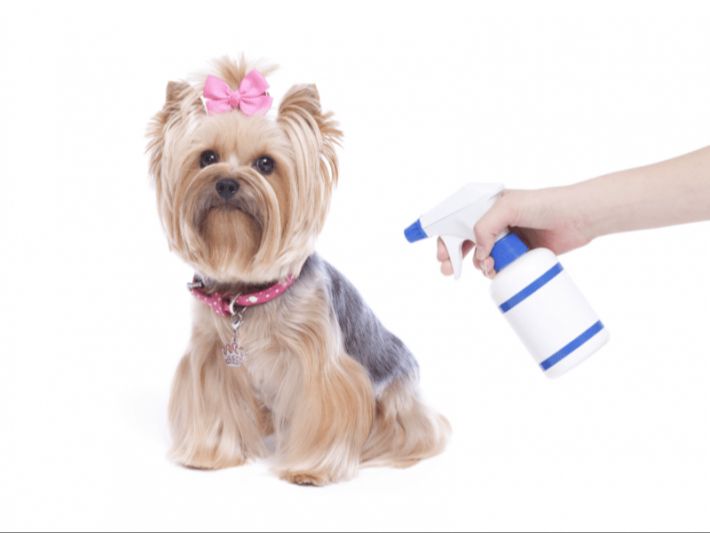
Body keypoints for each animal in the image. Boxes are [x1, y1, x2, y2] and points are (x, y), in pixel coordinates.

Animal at [146, 56, 450, 484]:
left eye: (266, 164)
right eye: (207, 158)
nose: (226, 183)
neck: (247, 295)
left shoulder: (320, 365)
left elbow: (325, 411)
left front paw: (310, 469)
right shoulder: (210, 358)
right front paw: (208, 455)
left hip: (396, 397)